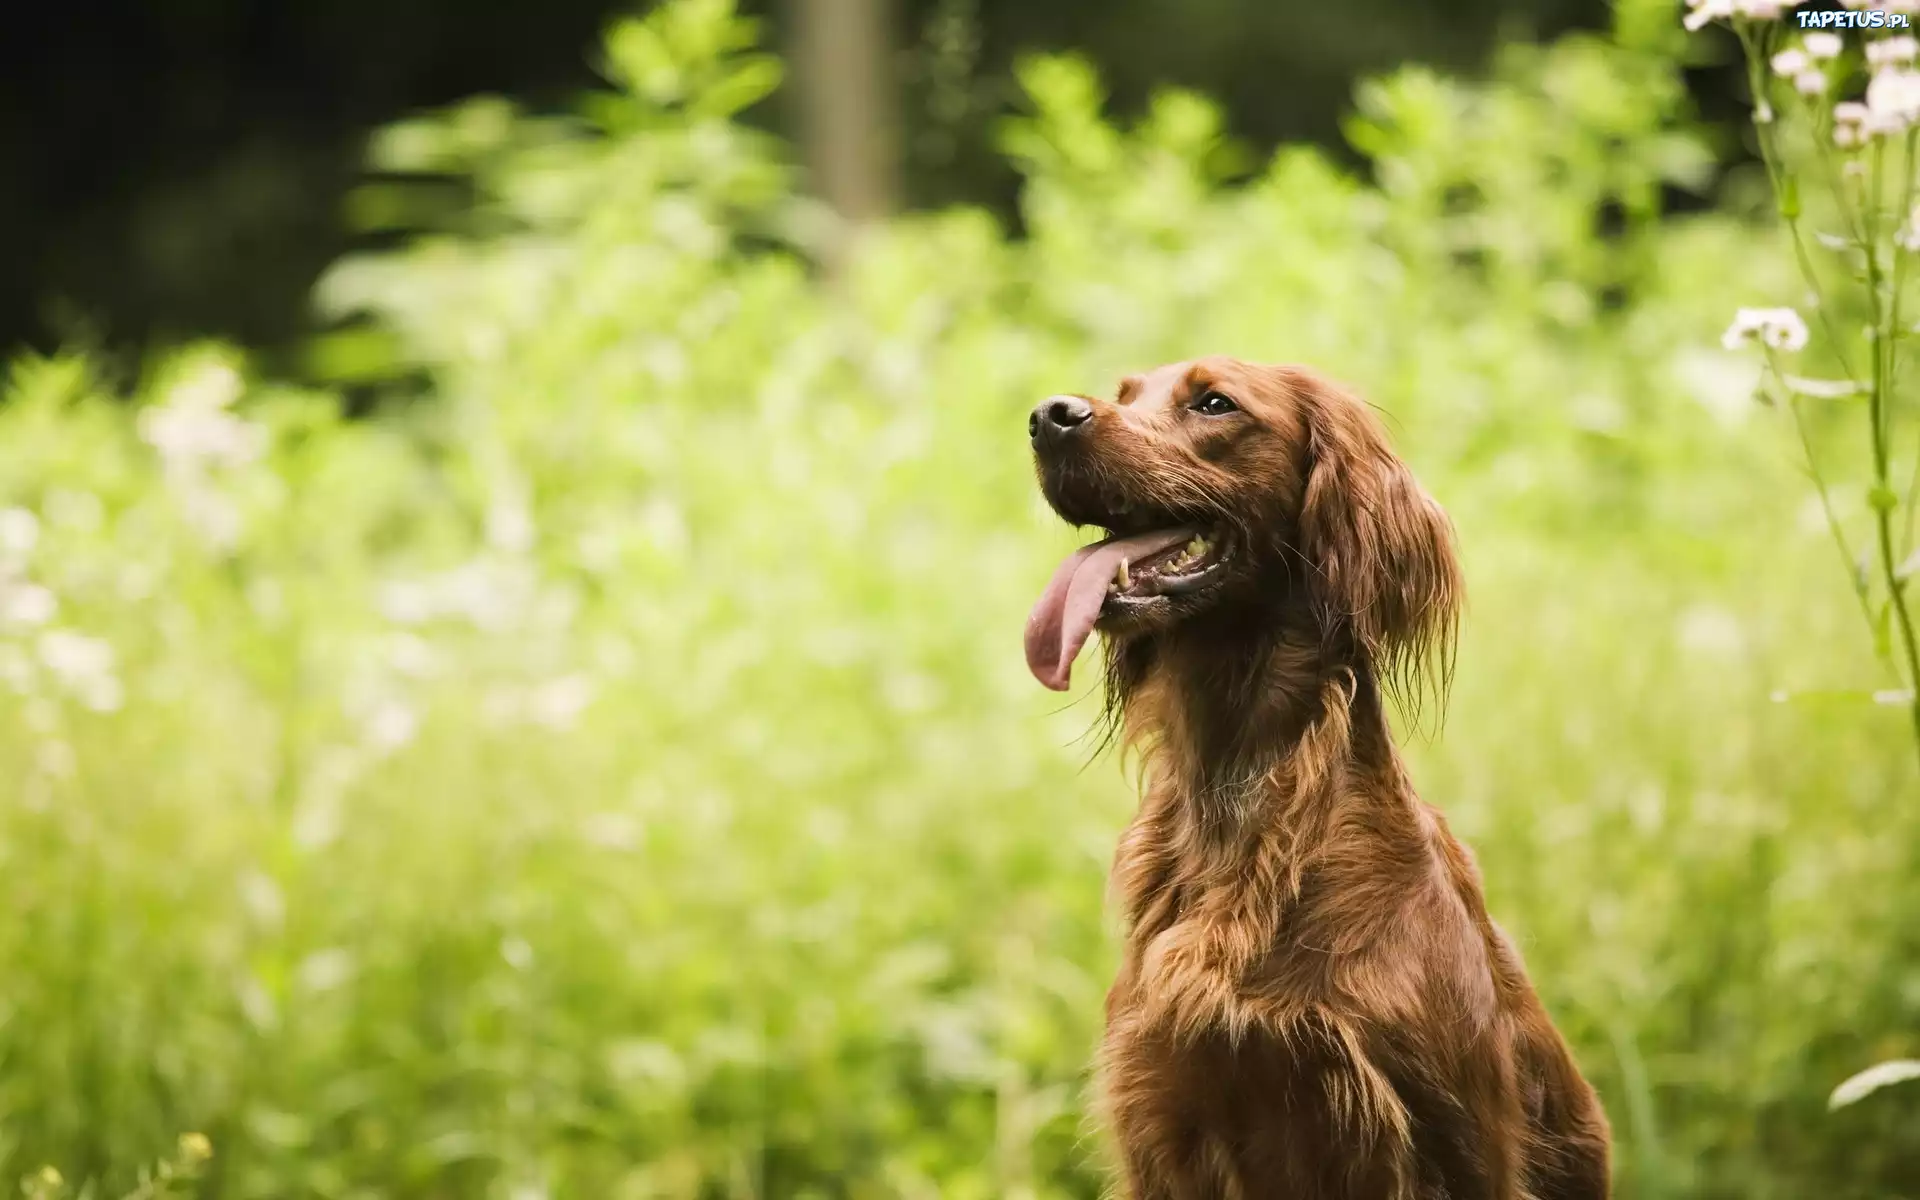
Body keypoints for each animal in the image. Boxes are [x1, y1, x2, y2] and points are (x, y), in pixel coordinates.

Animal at [1029, 360, 1612, 1198]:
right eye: (1126, 392)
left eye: (1214, 402)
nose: (1048, 415)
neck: (1240, 798)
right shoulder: (1166, 1121)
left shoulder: (1448, 1139)